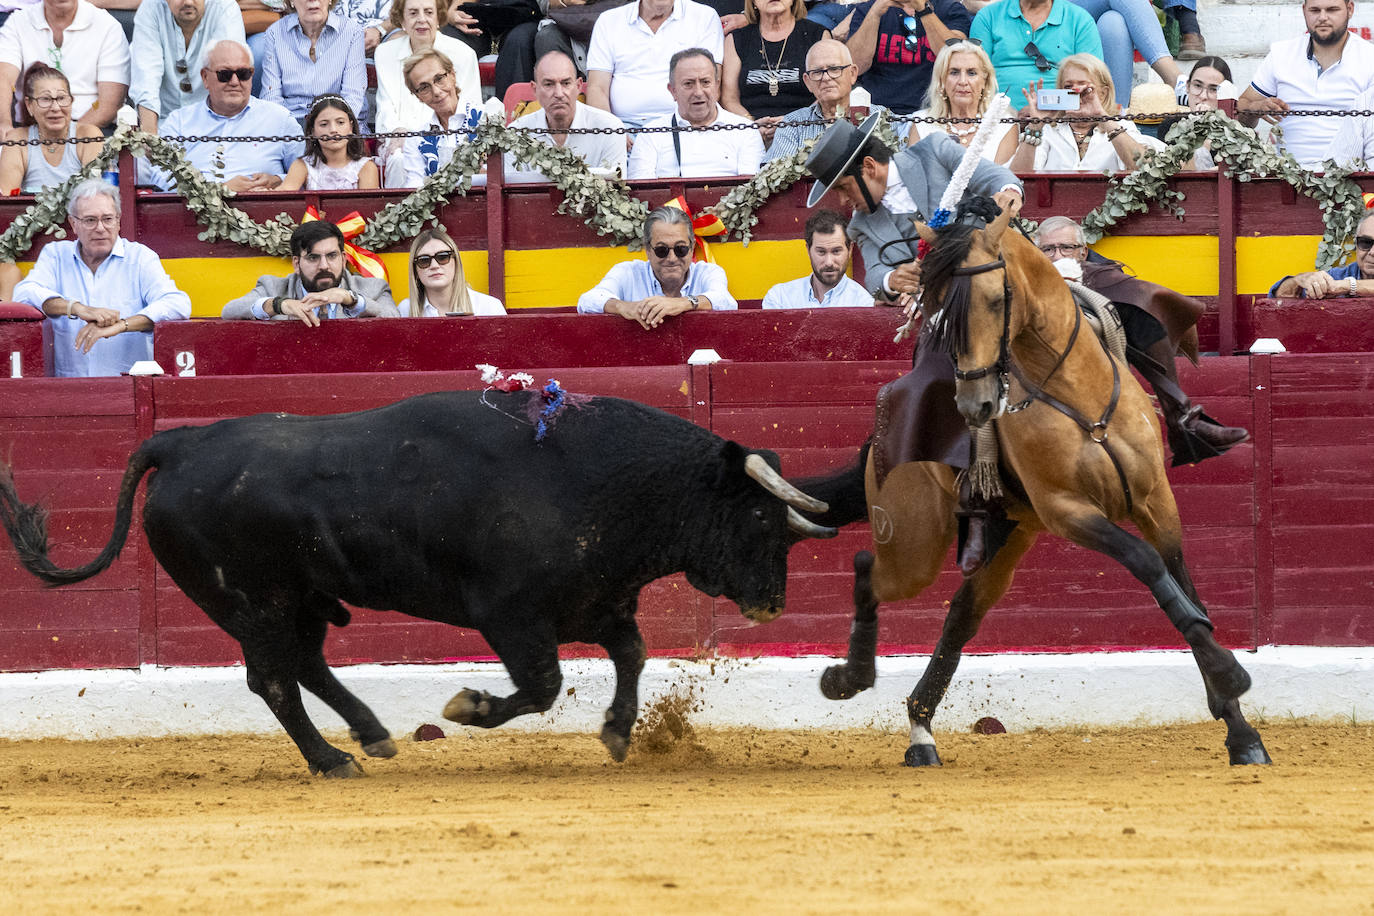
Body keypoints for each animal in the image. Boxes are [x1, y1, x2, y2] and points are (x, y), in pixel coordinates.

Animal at [0, 390, 840, 780]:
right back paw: (331, 760)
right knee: (273, 680)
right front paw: (467, 708)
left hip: (301, 599)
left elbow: (630, 656)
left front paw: (617, 732)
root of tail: (176, 443)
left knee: (306, 664)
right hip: (252, 602)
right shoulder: (512, 617)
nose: (773, 604)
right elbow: (541, 686)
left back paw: (371, 735)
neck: (594, 475)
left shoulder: (596, 603)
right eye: (760, 517)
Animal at [818, 204, 1269, 769]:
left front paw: (1240, 729)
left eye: (995, 300)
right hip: (914, 544)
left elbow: (1184, 586)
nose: (974, 406)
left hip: (1008, 533)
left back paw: (920, 730)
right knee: (869, 570)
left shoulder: (1155, 502)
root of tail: (879, 431)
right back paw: (849, 679)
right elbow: (1144, 562)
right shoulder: (1067, 510)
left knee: (960, 616)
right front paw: (1231, 674)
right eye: (937, 310)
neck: (1077, 392)